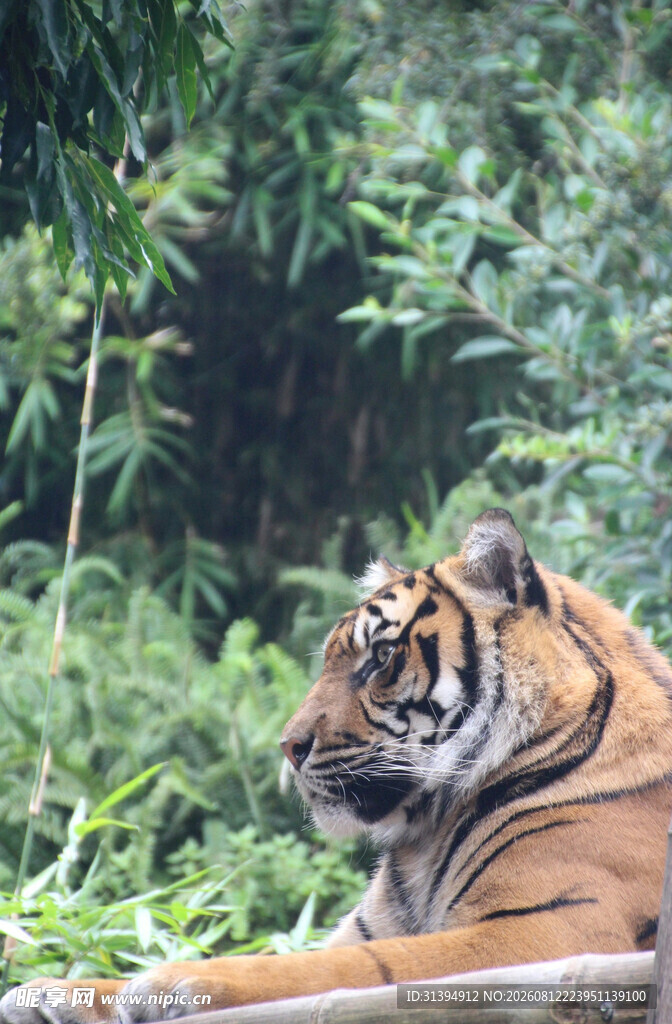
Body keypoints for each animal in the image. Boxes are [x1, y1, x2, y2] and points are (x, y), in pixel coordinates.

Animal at [3, 508, 672, 1023]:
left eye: (381, 657)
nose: (288, 745)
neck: (429, 834)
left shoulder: (547, 935)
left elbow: (337, 969)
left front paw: (173, 983)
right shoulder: (380, 923)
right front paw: (51, 993)